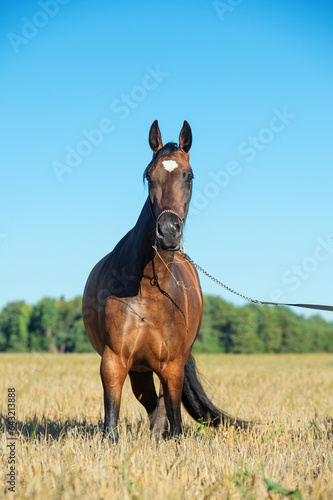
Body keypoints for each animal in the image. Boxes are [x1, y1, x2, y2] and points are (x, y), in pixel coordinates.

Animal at [81, 121, 248, 442]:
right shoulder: (114, 361)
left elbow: (175, 421)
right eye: (149, 175)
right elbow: (111, 424)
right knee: (151, 405)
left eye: (189, 175)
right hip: (139, 371)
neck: (150, 290)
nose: (169, 231)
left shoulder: (172, 367)